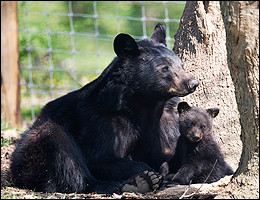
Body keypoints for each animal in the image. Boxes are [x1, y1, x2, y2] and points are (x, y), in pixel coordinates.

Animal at [10, 23, 199, 194]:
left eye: (181, 65)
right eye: (164, 68)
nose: (192, 83)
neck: (145, 103)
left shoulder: (167, 119)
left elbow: (172, 150)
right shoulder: (105, 120)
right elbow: (99, 157)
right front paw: (148, 173)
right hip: (32, 151)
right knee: (59, 146)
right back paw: (127, 183)